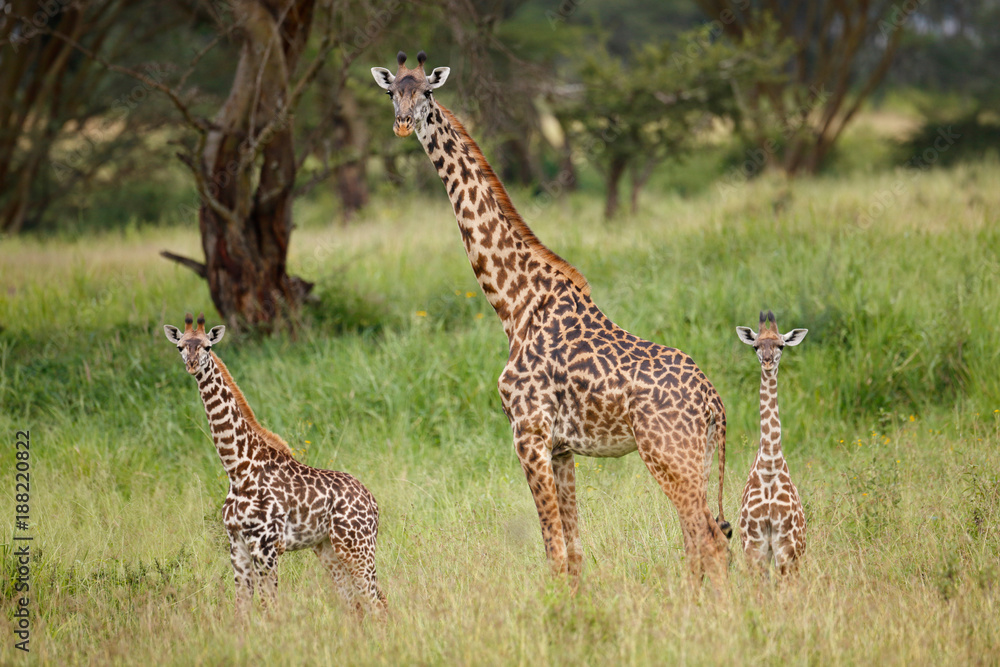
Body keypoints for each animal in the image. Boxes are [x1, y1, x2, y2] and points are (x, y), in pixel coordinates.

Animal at [164, 314, 387, 619]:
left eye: (207, 346)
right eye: (180, 347)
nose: (192, 365)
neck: (238, 468)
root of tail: (373, 501)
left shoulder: (266, 546)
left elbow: (270, 606)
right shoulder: (237, 546)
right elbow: (242, 608)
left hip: (356, 546)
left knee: (377, 602)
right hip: (327, 548)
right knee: (355, 603)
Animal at [371, 51, 731, 588]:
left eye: (428, 92)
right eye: (393, 90)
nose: (401, 122)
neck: (515, 303)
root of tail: (714, 403)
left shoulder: (529, 435)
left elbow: (554, 553)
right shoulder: (561, 448)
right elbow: (576, 552)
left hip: (668, 456)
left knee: (708, 539)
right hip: (695, 460)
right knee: (703, 539)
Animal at [735, 310, 808, 576]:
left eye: (781, 345)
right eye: (756, 345)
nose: (767, 361)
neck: (769, 466)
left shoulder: (786, 544)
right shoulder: (753, 543)